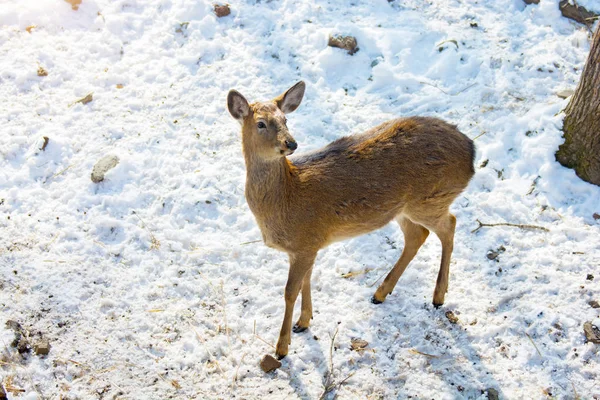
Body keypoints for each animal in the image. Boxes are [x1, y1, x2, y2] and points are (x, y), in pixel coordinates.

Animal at [227, 81, 476, 360]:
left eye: (285, 119)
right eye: (261, 123)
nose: (290, 143)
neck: (286, 198)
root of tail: (471, 153)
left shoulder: (304, 242)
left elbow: (290, 291)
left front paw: (281, 347)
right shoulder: (309, 245)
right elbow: (306, 280)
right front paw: (304, 322)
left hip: (431, 198)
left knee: (449, 225)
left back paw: (438, 296)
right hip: (403, 208)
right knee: (418, 235)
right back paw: (380, 293)